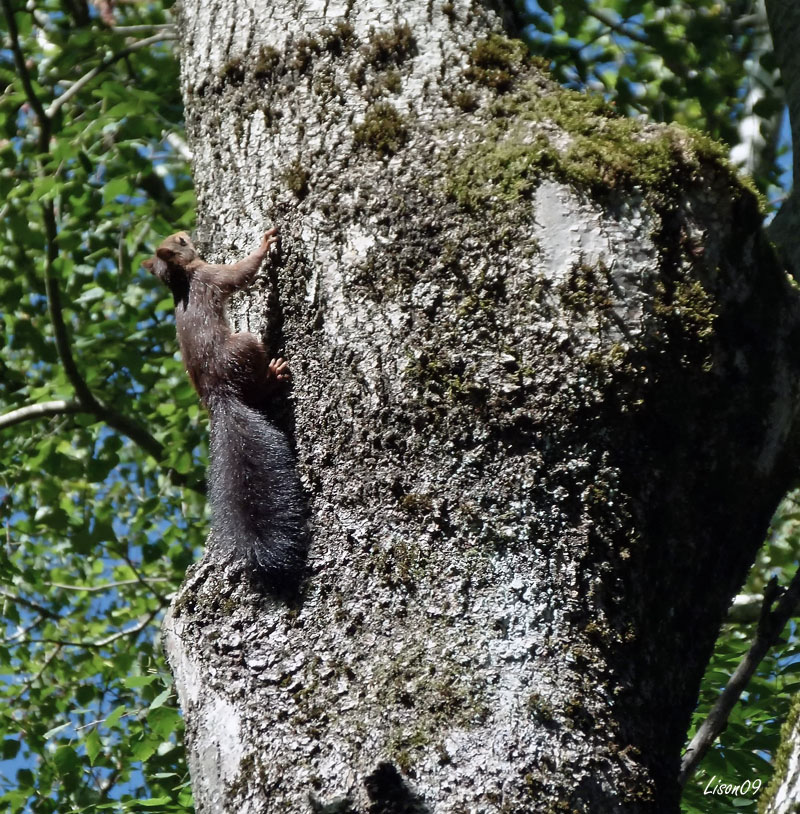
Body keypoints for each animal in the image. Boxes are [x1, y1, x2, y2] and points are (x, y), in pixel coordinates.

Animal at [144, 226, 306, 588]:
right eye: (180, 242)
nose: (184, 231)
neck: (182, 280)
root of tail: (219, 396)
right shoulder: (211, 275)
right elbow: (241, 272)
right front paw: (265, 244)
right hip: (242, 347)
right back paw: (274, 374)